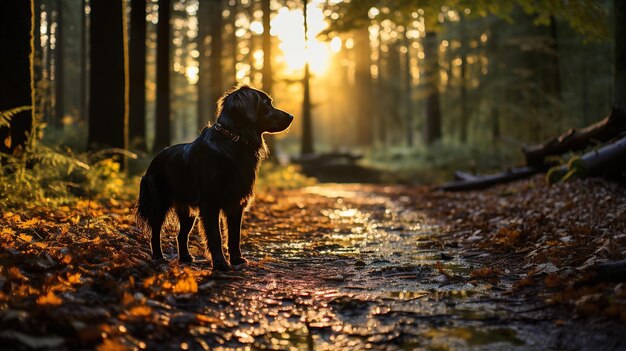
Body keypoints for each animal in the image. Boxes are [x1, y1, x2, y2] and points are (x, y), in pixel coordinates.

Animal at [136, 86, 292, 272]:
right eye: (267, 104)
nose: (291, 116)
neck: (234, 140)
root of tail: (153, 161)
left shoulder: (235, 203)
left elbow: (234, 236)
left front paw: (237, 259)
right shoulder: (210, 203)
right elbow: (215, 236)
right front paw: (220, 263)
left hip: (187, 211)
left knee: (181, 235)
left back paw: (185, 257)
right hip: (159, 204)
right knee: (155, 232)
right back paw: (158, 257)